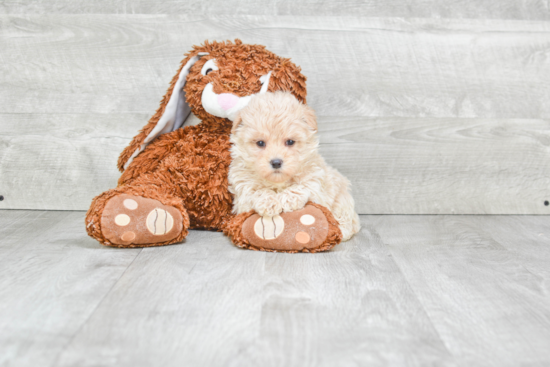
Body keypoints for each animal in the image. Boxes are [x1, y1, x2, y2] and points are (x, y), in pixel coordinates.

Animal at [230, 91, 362, 242]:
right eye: (260, 143)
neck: (278, 182)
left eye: (290, 142)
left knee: (347, 220)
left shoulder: (316, 180)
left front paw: (289, 199)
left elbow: (303, 185)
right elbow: (256, 191)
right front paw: (268, 202)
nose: (276, 162)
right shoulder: (242, 192)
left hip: (342, 199)